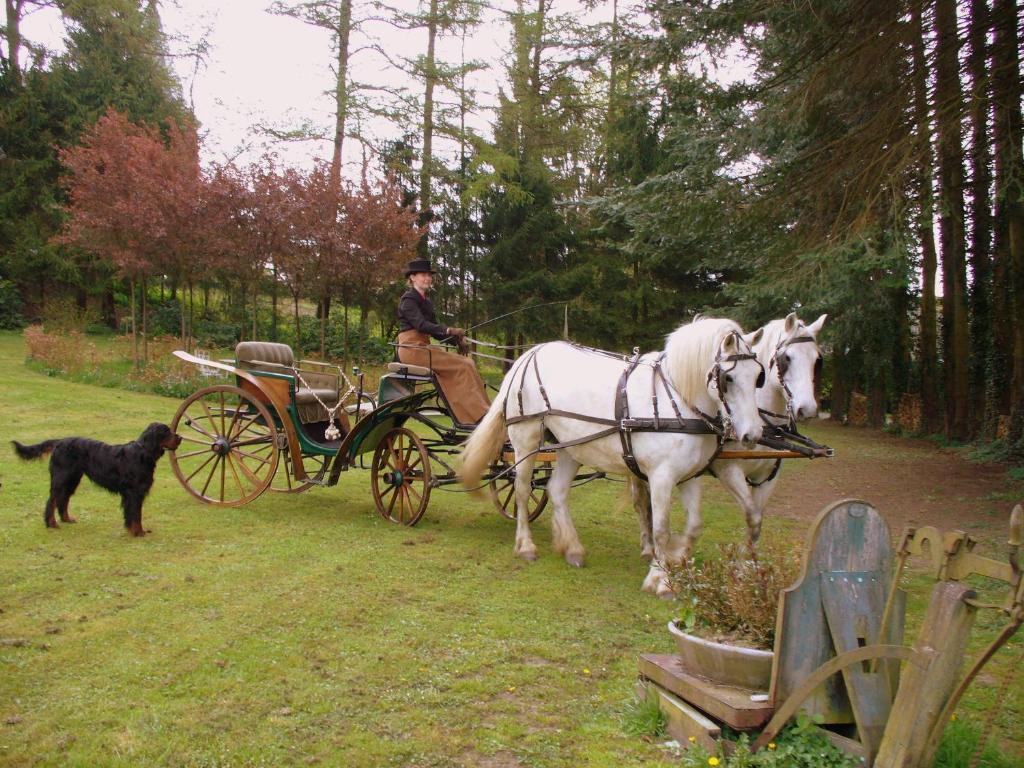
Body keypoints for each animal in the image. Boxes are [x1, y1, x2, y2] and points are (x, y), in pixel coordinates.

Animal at [11, 423, 184, 536]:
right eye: (166, 431)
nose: (180, 437)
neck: (143, 453)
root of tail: (59, 442)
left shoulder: (136, 493)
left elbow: (135, 514)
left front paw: (137, 530)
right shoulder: (133, 492)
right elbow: (135, 514)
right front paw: (138, 532)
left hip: (72, 479)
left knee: (63, 499)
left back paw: (66, 519)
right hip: (61, 478)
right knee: (52, 500)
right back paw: (51, 524)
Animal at [460, 315, 765, 598]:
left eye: (758, 378)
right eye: (728, 378)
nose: (753, 434)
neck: (677, 401)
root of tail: (529, 353)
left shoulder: (690, 476)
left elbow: (694, 525)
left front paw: (676, 557)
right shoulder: (661, 476)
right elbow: (661, 529)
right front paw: (660, 578)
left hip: (570, 446)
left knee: (556, 490)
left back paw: (572, 548)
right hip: (526, 438)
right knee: (522, 489)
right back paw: (525, 545)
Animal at [626, 311, 827, 561]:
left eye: (817, 360)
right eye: (786, 359)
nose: (807, 409)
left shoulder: (767, 476)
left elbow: (757, 521)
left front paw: (749, 562)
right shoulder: (728, 470)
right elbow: (751, 513)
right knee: (640, 501)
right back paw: (648, 545)